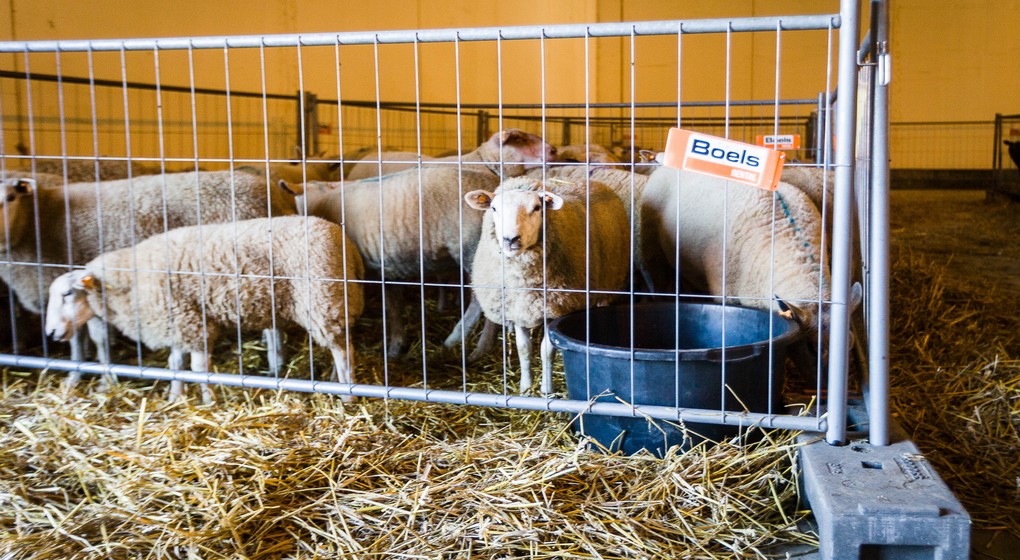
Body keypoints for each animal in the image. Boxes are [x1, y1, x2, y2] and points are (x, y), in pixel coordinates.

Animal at [0, 171, 297, 382]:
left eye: (11, 197)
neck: (35, 222)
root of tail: (270, 191)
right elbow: (82, 337)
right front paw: (79, 373)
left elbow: (91, 338)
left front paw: (96, 378)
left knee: (272, 325)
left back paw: (275, 365)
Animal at [45, 215, 364, 403]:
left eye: (67, 294)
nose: (50, 333)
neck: (128, 279)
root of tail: (343, 239)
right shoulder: (175, 321)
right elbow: (175, 364)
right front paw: (176, 396)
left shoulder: (191, 322)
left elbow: (199, 368)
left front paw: (208, 398)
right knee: (341, 344)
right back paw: (334, 381)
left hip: (323, 298)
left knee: (344, 350)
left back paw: (348, 394)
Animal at [465, 176, 630, 395]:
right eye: (493, 208)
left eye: (537, 207)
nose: (510, 239)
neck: (523, 283)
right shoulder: (518, 309)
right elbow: (523, 349)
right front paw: (526, 387)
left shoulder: (556, 310)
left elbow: (546, 350)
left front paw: (546, 388)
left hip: (607, 284)